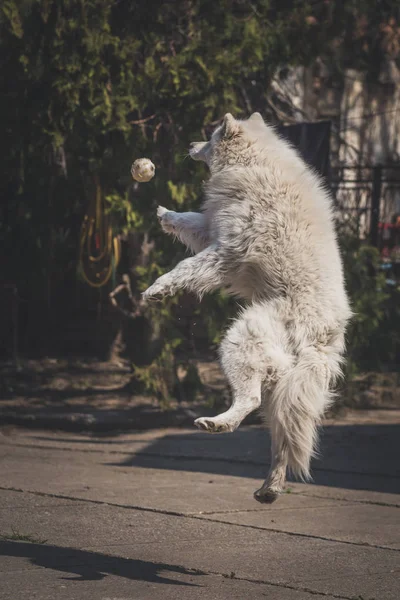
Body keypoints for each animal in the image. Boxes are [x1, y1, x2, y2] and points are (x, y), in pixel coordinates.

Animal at [143, 113, 350, 502]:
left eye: (210, 138)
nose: (189, 144)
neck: (255, 161)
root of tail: (322, 339)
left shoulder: (226, 250)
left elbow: (184, 269)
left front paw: (157, 290)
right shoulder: (214, 230)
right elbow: (191, 218)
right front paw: (165, 213)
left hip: (242, 340)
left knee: (249, 400)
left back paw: (216, 424)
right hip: (285, 391)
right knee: (282, 442)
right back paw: (269, 488)